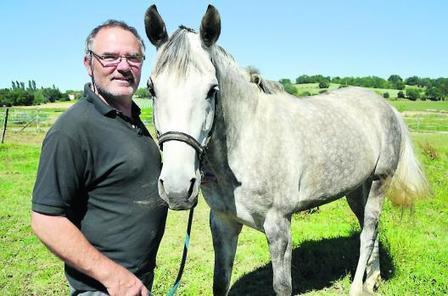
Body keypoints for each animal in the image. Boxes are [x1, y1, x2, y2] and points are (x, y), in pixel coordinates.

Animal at [144, 5, 430, 296]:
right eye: (151, 88)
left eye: (212, 90)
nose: (177, 189)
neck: (247, 142)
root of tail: (386, 107)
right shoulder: (223, 223)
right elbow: (220, 282)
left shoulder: (278, 227)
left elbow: (282, 286)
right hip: (356, 189)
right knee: (371, 229)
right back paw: (372, 279)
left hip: (379, 182)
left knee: (368, 233)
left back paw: (358, 286)